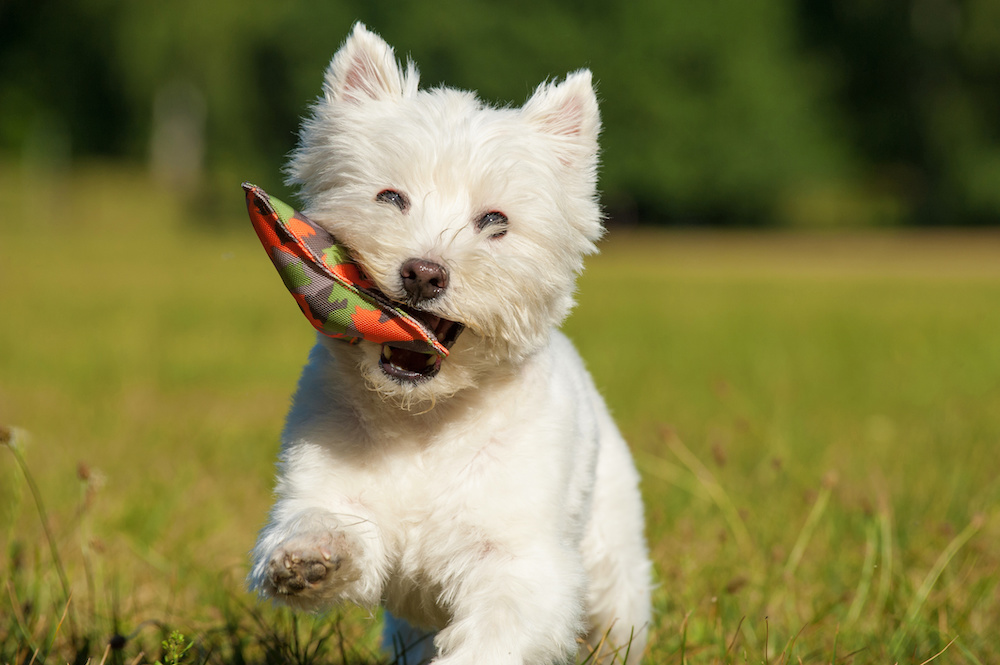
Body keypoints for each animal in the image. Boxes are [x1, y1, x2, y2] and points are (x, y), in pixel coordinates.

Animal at [249, 22, 652, 664]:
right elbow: (327, 522)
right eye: (390, 197)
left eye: (495, 221)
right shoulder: (331, 484)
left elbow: (498, 631)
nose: (423, 273)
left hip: (614, 567)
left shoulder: (519, 558)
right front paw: (308, 557)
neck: (423, 420)